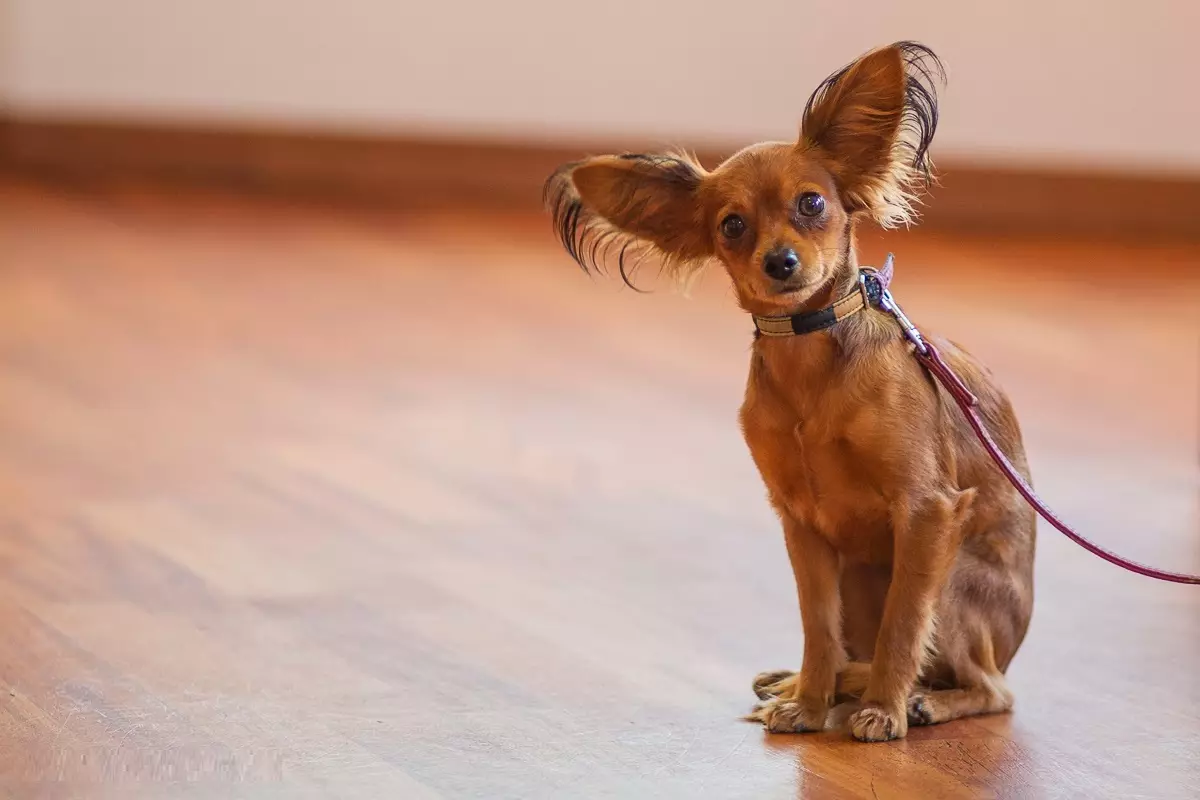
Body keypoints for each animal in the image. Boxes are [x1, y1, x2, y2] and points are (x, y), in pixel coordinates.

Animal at [544, 42, 1032, 743]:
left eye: (812, 204)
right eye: (731, 225)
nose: (781, 263)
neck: (811, 360)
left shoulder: (927, 512)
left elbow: (904, 625)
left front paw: (883, 711)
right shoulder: (802, 523)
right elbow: (817, 625)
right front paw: (808, 700)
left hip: (955, 578)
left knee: (990, 688)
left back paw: (919, 701)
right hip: (860, 572)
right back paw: (812, 683)